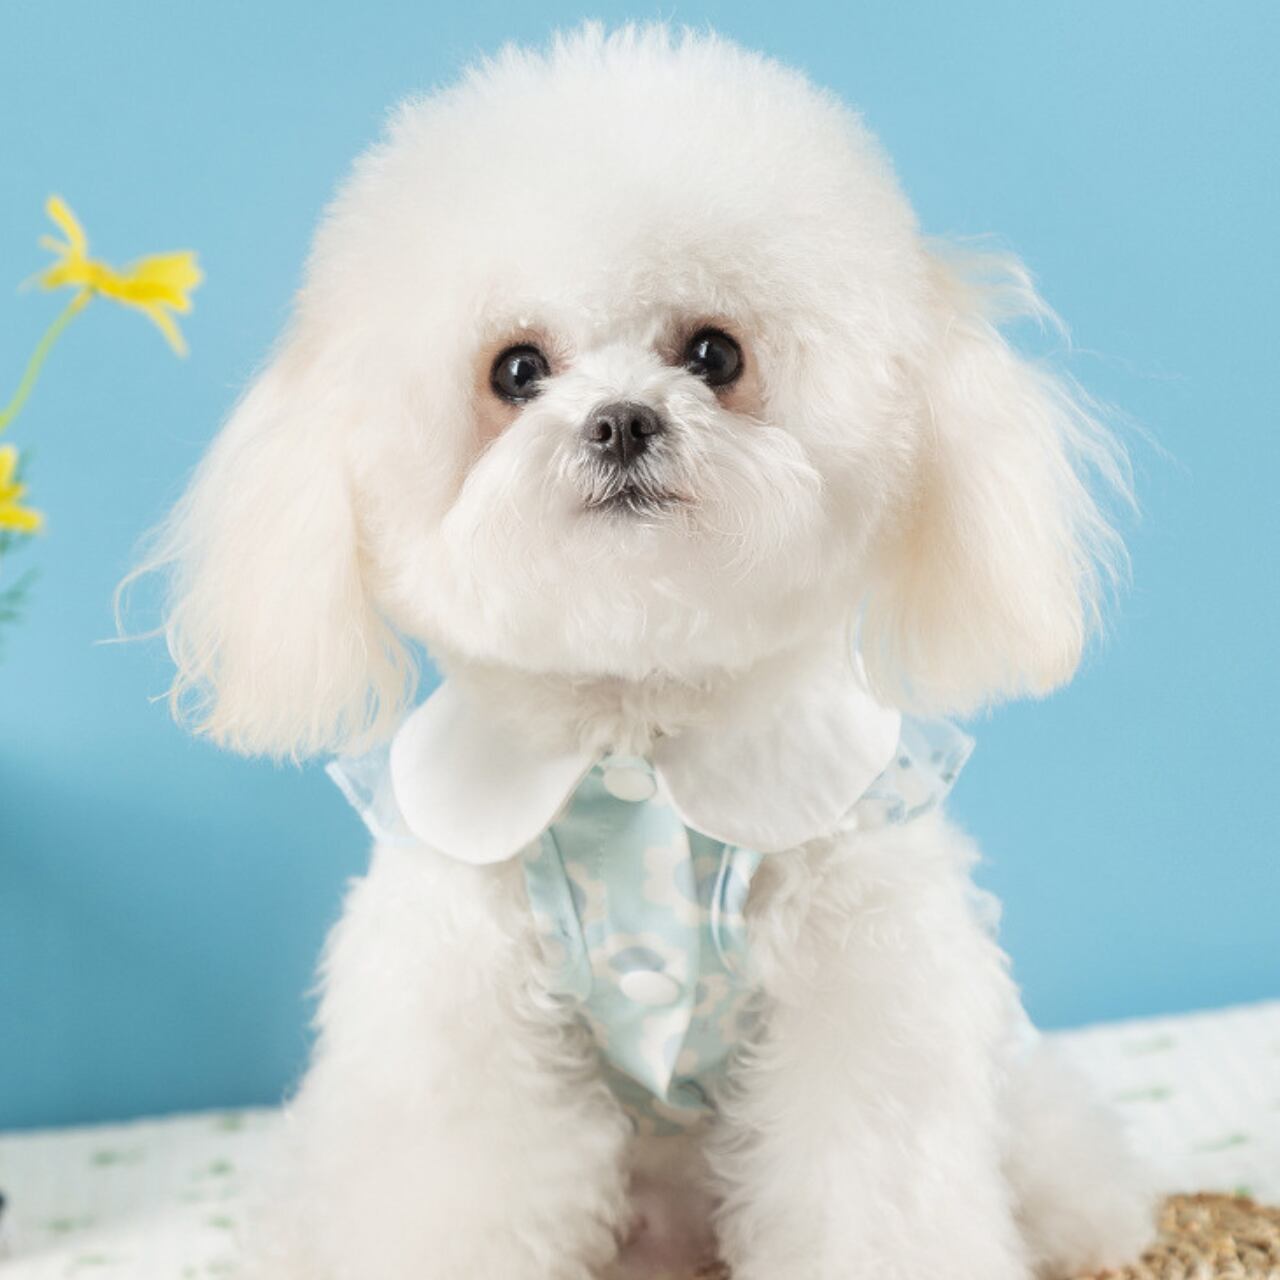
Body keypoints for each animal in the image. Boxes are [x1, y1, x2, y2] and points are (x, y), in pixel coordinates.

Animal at [144, 24, 1155, 1280]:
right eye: (516, 368)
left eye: (713, 353)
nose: (623, 417)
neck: (636, 726)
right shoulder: (460, 1030)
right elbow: (459, 1187)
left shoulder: (859, 1001)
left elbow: (869, 1186)